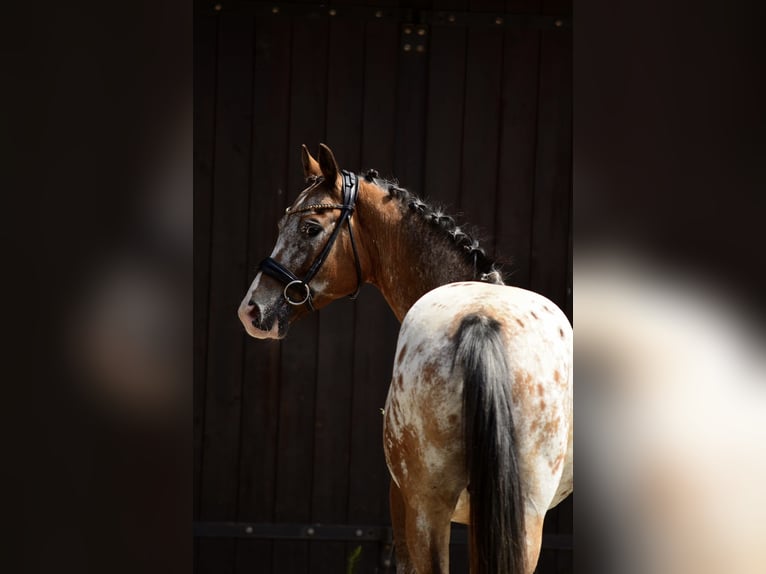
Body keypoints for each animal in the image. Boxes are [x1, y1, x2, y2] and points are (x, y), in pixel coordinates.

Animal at [238, 143, 573, 573]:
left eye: (310, 228)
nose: (251, 310)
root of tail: (481, 318)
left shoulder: (401, 502)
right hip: (520, 518)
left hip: (427, 510)